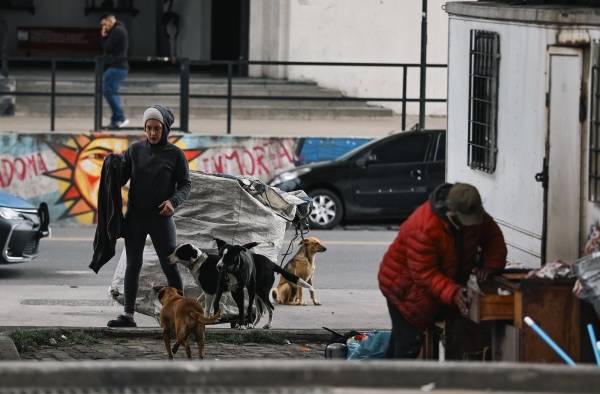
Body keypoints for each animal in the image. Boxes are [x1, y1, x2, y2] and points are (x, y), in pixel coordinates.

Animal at [166, 240, 312, 330]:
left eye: (179, 252)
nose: (167, 258)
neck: (198, 261)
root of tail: (271, 263)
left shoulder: (209, 292)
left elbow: (207, 309)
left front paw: (206, 321)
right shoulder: (209, 291)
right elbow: (198, 300)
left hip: (261, 290)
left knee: (270, 308)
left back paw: (267, 325)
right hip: (256, 292)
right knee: (260, 310)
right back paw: (251, 325)